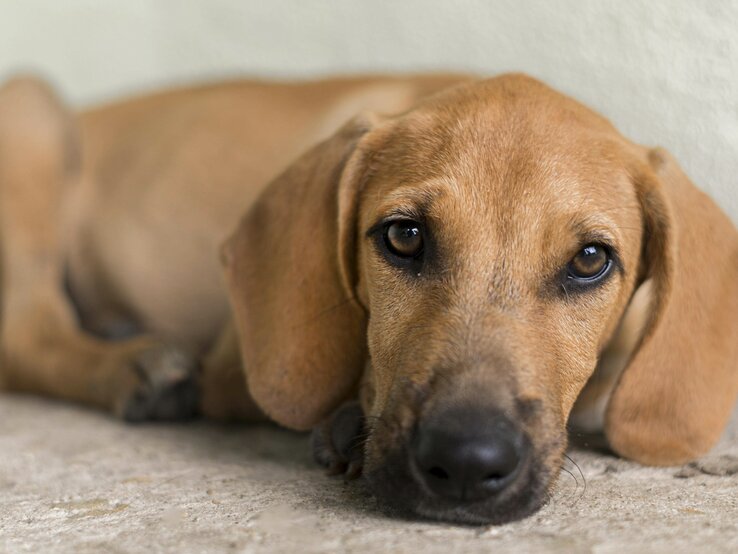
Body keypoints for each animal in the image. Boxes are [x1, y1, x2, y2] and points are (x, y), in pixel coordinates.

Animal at [1, 72, 736, 520]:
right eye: (404, 237)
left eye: (590, 260)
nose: (465, 464)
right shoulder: (236, 356)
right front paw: (348, 422)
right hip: (31, 112)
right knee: (27, 329)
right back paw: (134, 366)